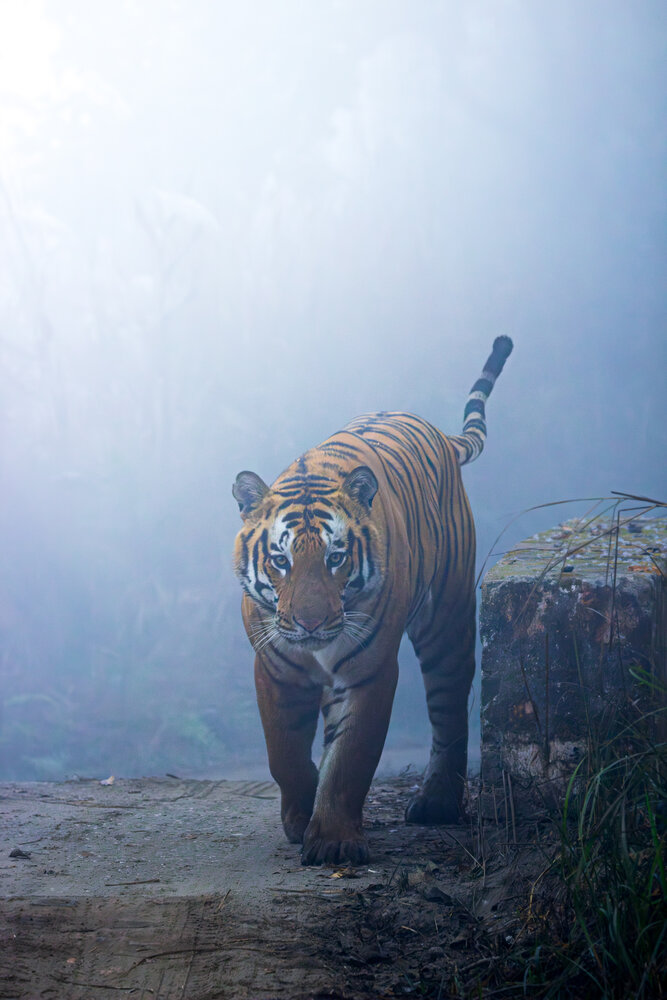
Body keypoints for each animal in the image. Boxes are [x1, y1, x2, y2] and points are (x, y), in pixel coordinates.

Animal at [232, 336, 512, 865]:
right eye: (280, 560)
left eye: (336, 557)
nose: (310, 624)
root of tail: (440, 434)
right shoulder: (274, 667)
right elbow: (285, 753)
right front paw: (300, 819)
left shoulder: (372, 669)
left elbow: (350, 758)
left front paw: (333, 841)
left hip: (445, 620)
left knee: (448, 705)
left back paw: (437, 804)